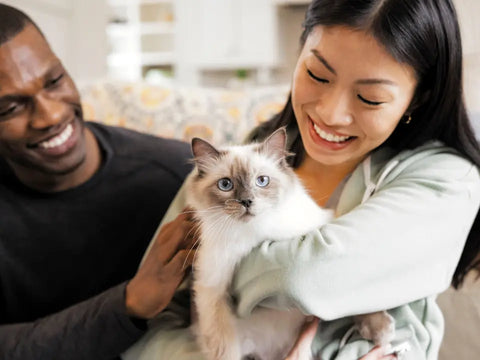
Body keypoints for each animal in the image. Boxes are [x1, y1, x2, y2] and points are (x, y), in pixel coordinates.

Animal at [184, 127, 394, 360]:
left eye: (262, 181)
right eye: (225, 185)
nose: (247, 201)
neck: (258, 234)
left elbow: (355, 299)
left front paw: (382, 331)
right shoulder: (212, 289)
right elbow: (225, 348)